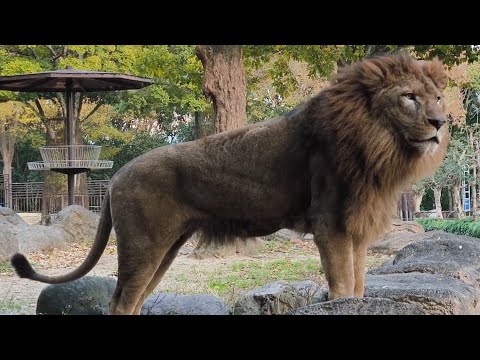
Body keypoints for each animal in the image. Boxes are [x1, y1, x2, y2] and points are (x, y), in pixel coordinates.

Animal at [10, 52, 450, 314]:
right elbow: (342, 286)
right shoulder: (331, 226)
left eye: (438, 98)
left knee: (131, 301)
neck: (379, 144)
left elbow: (357, 285)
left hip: (164, 249)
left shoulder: (354, 228)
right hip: (144, 245)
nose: (441, 123)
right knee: (120, 302)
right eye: (409, 97)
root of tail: (118, 172)